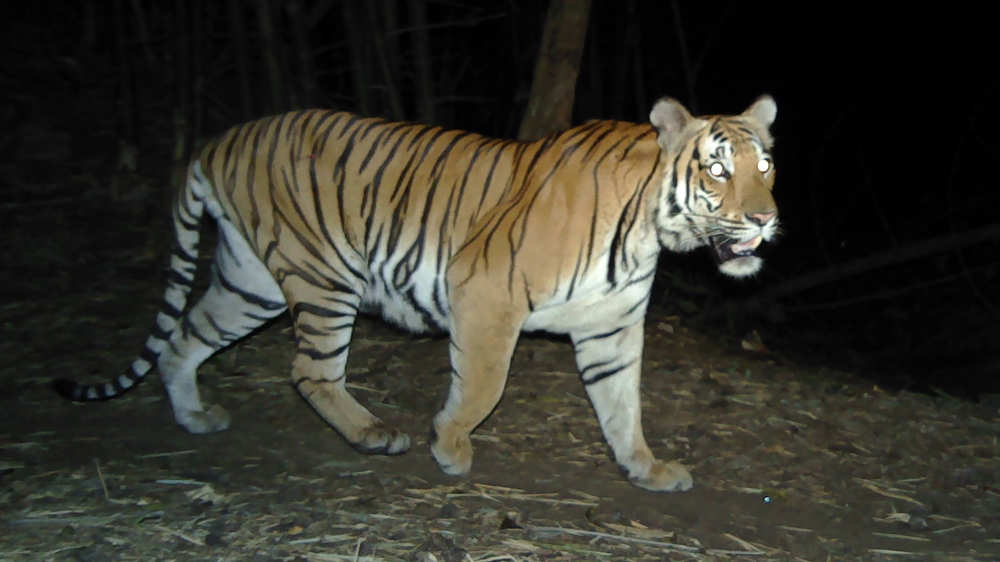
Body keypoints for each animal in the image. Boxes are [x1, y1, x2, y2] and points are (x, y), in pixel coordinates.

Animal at [54, 95, 778, 492]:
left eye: (766, 165)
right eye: (718, 170)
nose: (766, 218)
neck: (649, 231)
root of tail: (217, 140)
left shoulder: (610, 329)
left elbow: (623, 406)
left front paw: (645, 469)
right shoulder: (485, 294)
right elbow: (482, 385)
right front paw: (450, 446)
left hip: (249, 280)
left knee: (183, 339)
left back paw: (194, 417)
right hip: (323, 278)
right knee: (308, 371)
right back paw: (374, 435)